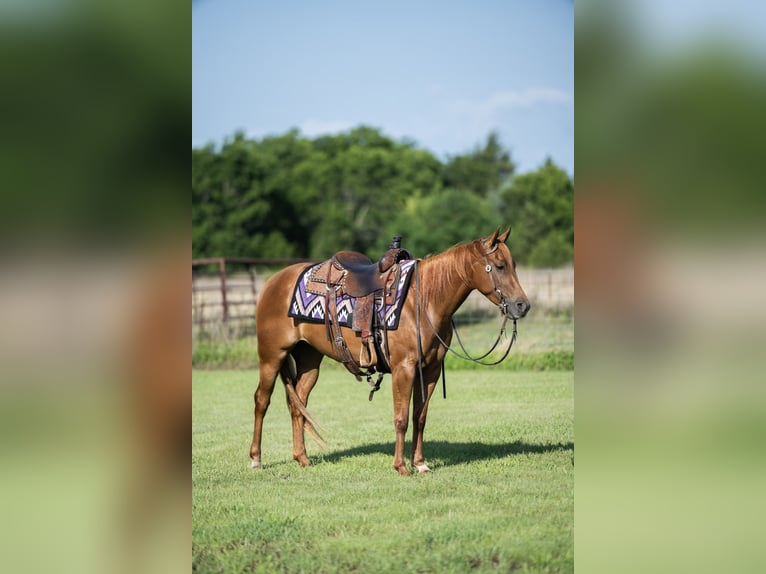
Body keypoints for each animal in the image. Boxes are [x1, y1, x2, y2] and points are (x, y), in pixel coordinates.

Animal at [249, 227, 530, 475]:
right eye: (500, 266)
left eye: (513, 264)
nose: (522, 305)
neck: (423, 300)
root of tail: (274, 281)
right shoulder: (404, 368)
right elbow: (401, 418)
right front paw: (401, 467)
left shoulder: (430, 370)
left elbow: (420, 417)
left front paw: (421, 464)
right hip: (272, 355)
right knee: (262, 400)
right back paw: (256, 459)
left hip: (309, 359)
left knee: (298, 403)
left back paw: (303, 459)